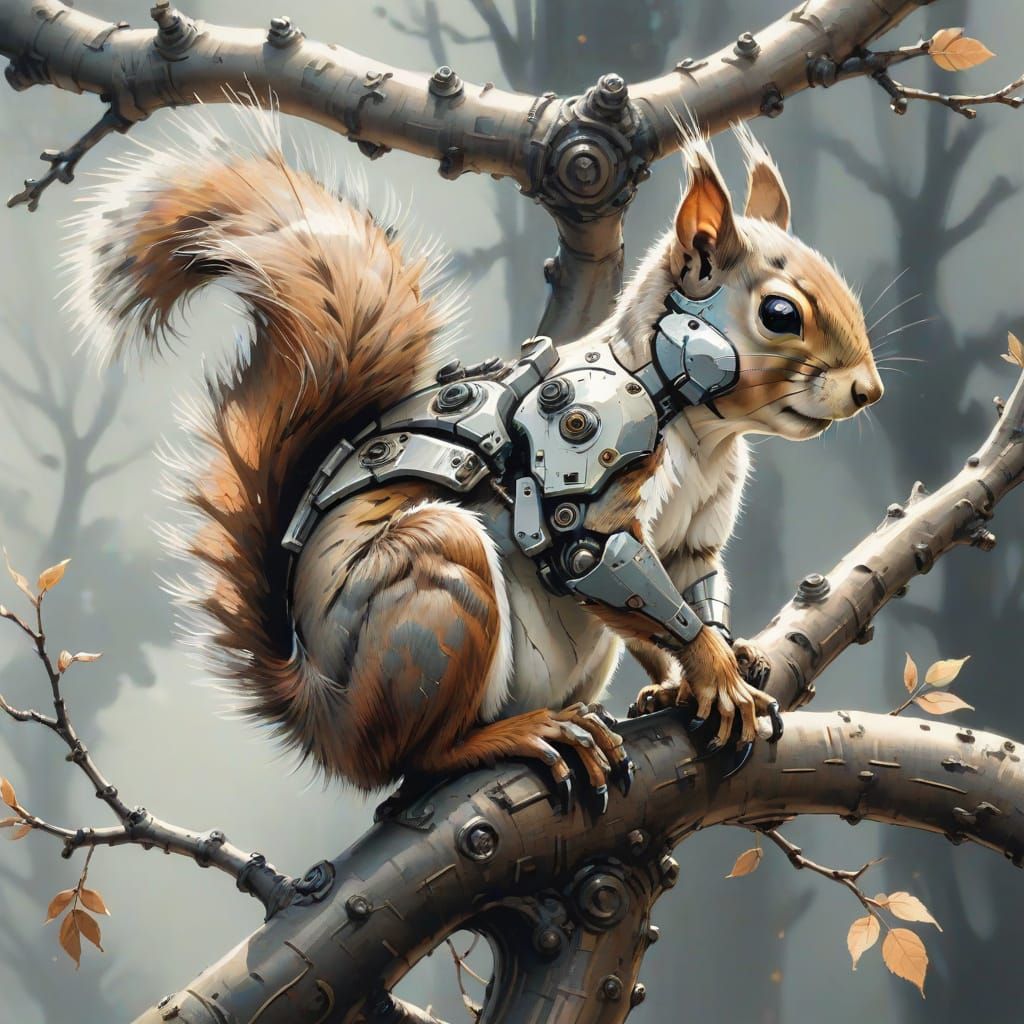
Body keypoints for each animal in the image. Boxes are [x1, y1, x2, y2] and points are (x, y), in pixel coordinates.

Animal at [66, 111, 882, 807]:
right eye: (780, 314)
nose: (868, 391)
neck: (692, 422)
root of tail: (323, 716)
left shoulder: (694, 536)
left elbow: (687, 593)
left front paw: (713, 668)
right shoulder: (586, 469)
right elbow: (600, 561)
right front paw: (715, 677)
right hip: (436, 598)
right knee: (414, 761)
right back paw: (520, 735)